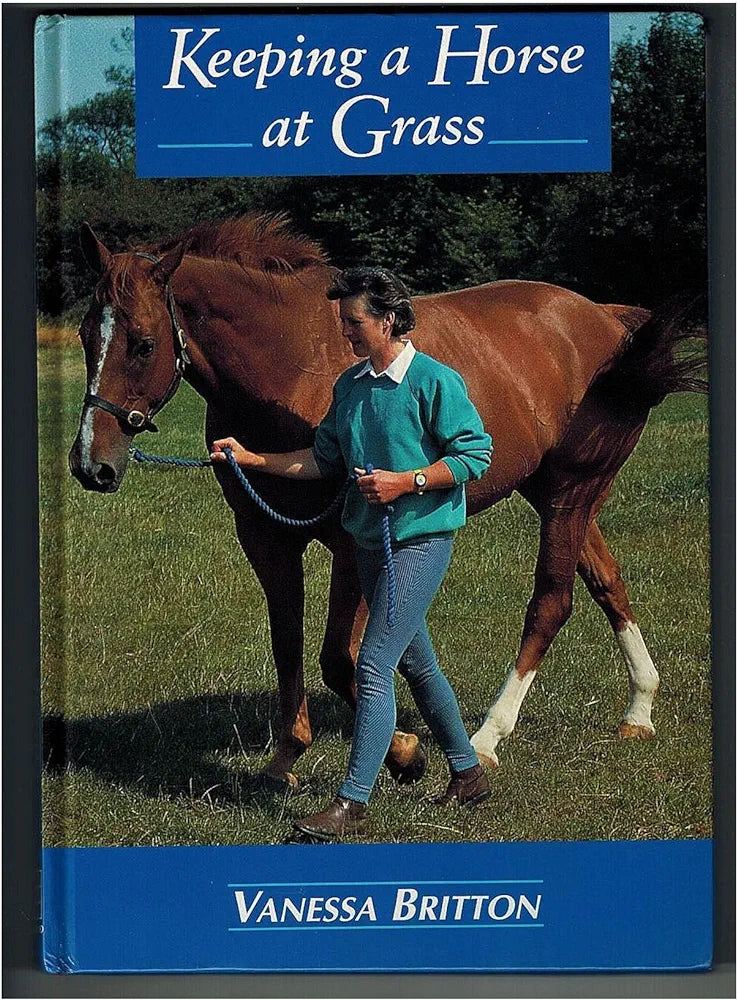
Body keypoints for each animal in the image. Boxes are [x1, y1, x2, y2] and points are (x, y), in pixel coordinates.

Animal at [68, 214, 705, 789]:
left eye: (143, 344)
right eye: (84, 336)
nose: (90, 464)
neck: (290, 364)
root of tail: (610, 322)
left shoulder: (354, 542)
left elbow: (337, 658)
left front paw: (404, 750)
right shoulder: (266, 538)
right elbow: (287, 642)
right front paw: (287, 755)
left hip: (571, 495)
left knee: (552, 603)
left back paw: (488, 737)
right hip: (558, 496)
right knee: (608, 583)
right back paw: (639, 710)